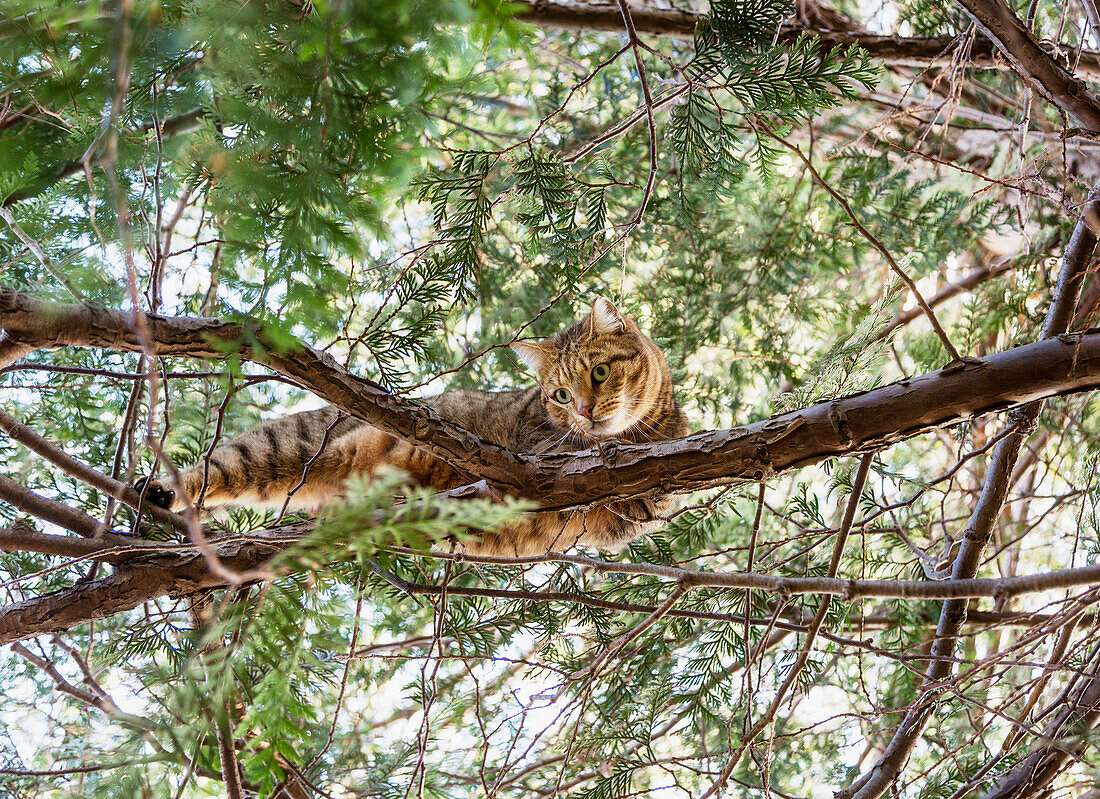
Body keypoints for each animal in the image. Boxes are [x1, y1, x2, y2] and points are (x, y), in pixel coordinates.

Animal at [137, 297, 686, 554]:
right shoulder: (542, 456)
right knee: (211, 470)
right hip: (281, 448)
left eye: (600, 372)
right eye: (561, 395)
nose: (586, 411)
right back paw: (161, 491)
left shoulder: (626, 519)